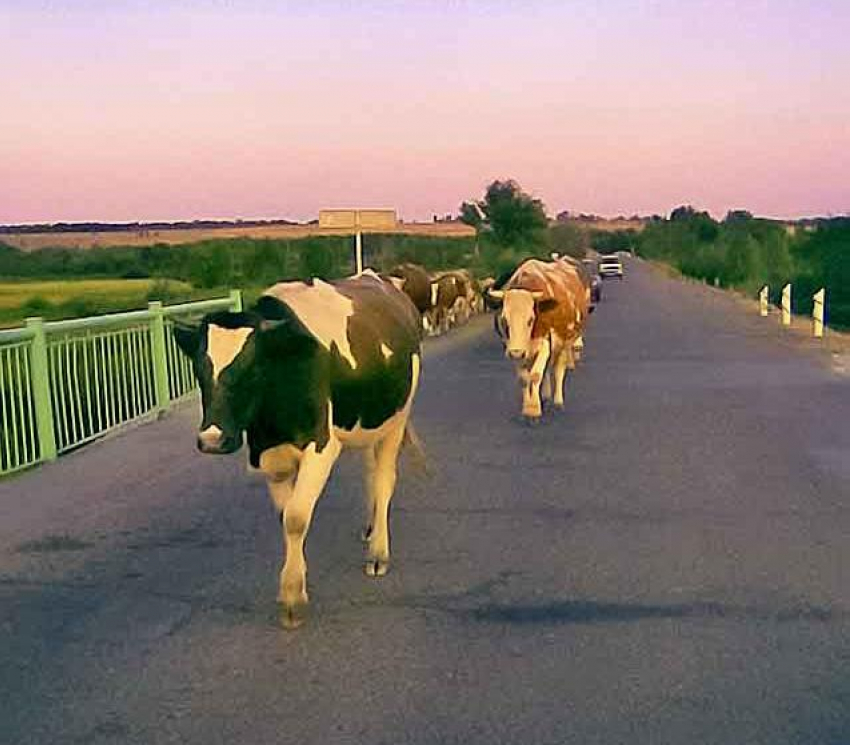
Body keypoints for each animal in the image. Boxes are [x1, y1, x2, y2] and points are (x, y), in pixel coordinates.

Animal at [173, 270, 424, 624]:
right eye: (198, 369)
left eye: (253, 367)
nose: (212, 440)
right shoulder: (268, 455)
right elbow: (287, 516)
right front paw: (296, 582)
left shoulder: (321, 448)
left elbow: (296, 517)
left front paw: (292, 596)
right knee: (370, 472)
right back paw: (370, 526)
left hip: (397, 419)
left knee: (384, 479)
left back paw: (378, 551)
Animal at [486, 258, 588, 416]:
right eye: (504, 319)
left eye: (531, 319)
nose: (516, 352)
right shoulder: (513, 347)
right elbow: (524, 379)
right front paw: (528, 407)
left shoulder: (545, 343)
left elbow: (535, 375)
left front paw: (533, 410)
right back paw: (545, 397)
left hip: (566, 340)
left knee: (559, 368)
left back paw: (558, 401)